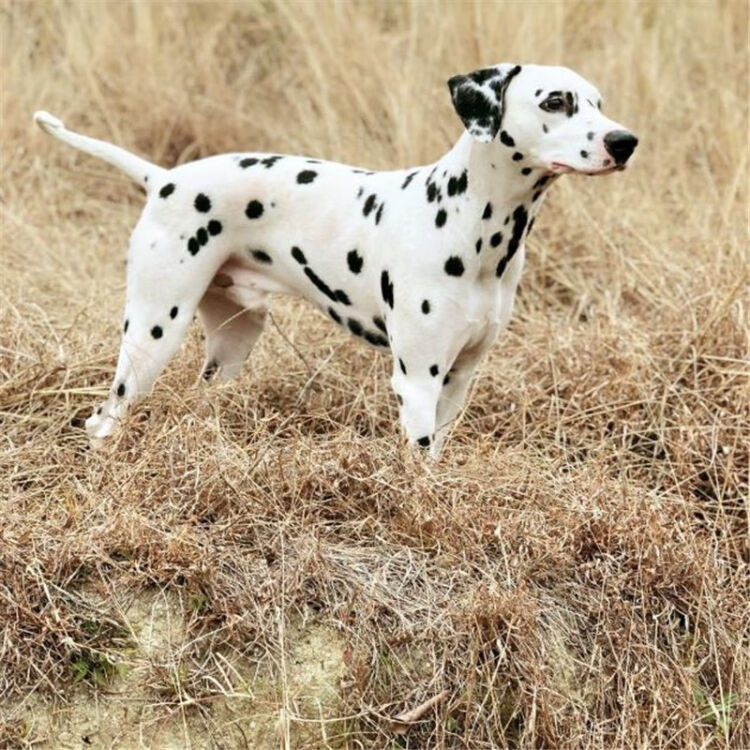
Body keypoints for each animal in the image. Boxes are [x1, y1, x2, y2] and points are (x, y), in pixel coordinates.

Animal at [32, 61, 636, 456]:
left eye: (599, 103)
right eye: (555, 101)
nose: (625, 141)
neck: (477, 226)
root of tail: (165, 179)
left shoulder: (460, 379)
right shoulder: (418, 380)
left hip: (233, 340)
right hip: (153, 334)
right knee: (103, 419)